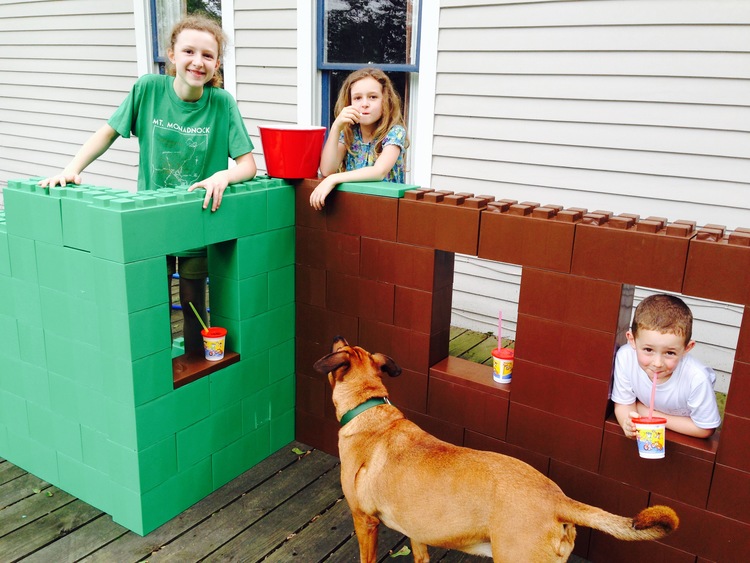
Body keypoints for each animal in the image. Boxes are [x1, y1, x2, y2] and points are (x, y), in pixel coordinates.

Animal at [314, 340, 680, 563]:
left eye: (341, 346)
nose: (336, 335)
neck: (368, 407)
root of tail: (559, 500)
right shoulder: (416, 529)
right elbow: (420, 553)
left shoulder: (364, 522)